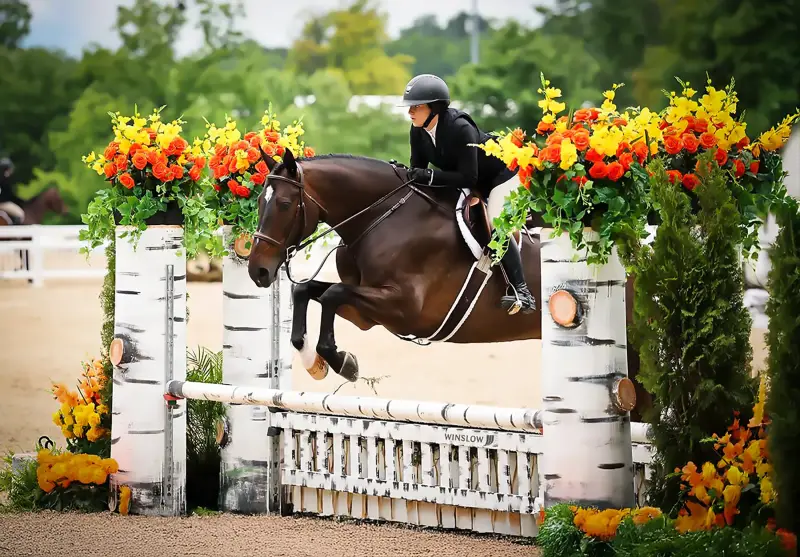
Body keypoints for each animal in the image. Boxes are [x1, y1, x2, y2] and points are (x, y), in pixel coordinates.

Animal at [247, 149, 651, 419]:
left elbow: (329, 293)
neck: (381, 217)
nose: (258, 272)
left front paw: (341, 361)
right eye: (260, 203)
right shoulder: (367, 315)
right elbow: (307, 290)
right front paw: (313, 360)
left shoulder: (404, 309)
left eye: (284, 204)